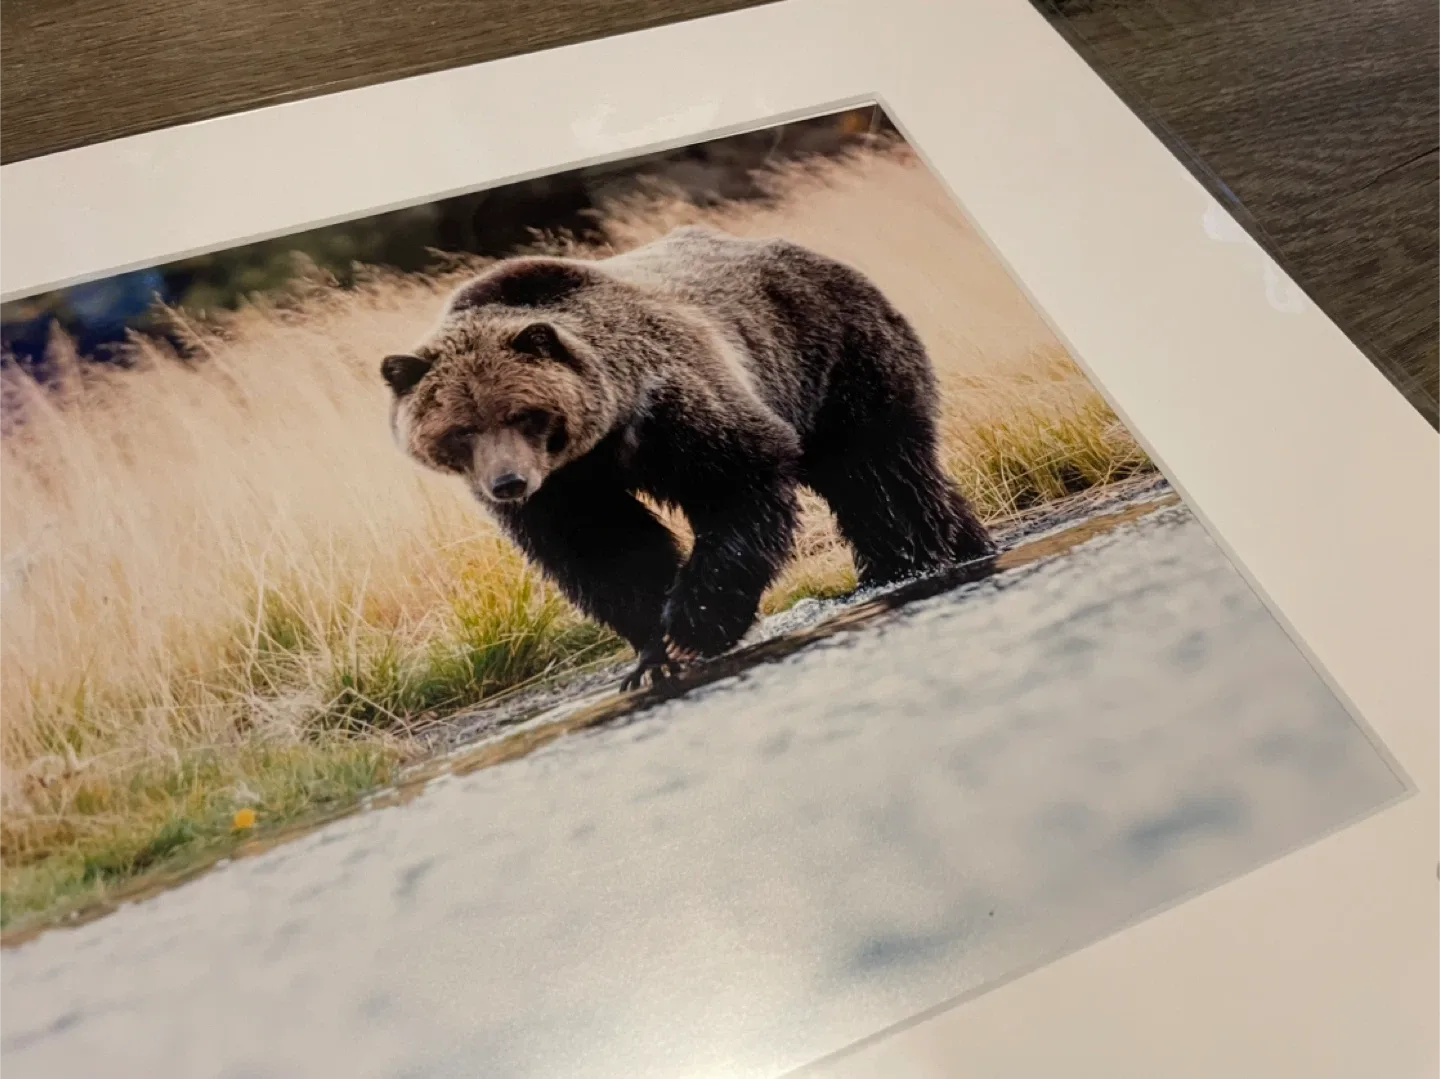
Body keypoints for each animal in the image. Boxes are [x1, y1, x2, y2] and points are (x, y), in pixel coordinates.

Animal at [381, 225, 995, 690]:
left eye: (524, 414)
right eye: (461, 430)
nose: (507, 483)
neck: (601, 439)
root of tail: (818, 254)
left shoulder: (671, 410)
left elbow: (738, 483)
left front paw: (689, 629)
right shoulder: (566, 489)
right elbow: (607, 552)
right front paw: (654, 650)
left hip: (831, 358)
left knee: (875, 470)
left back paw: (905, 563)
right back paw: (966, 542)